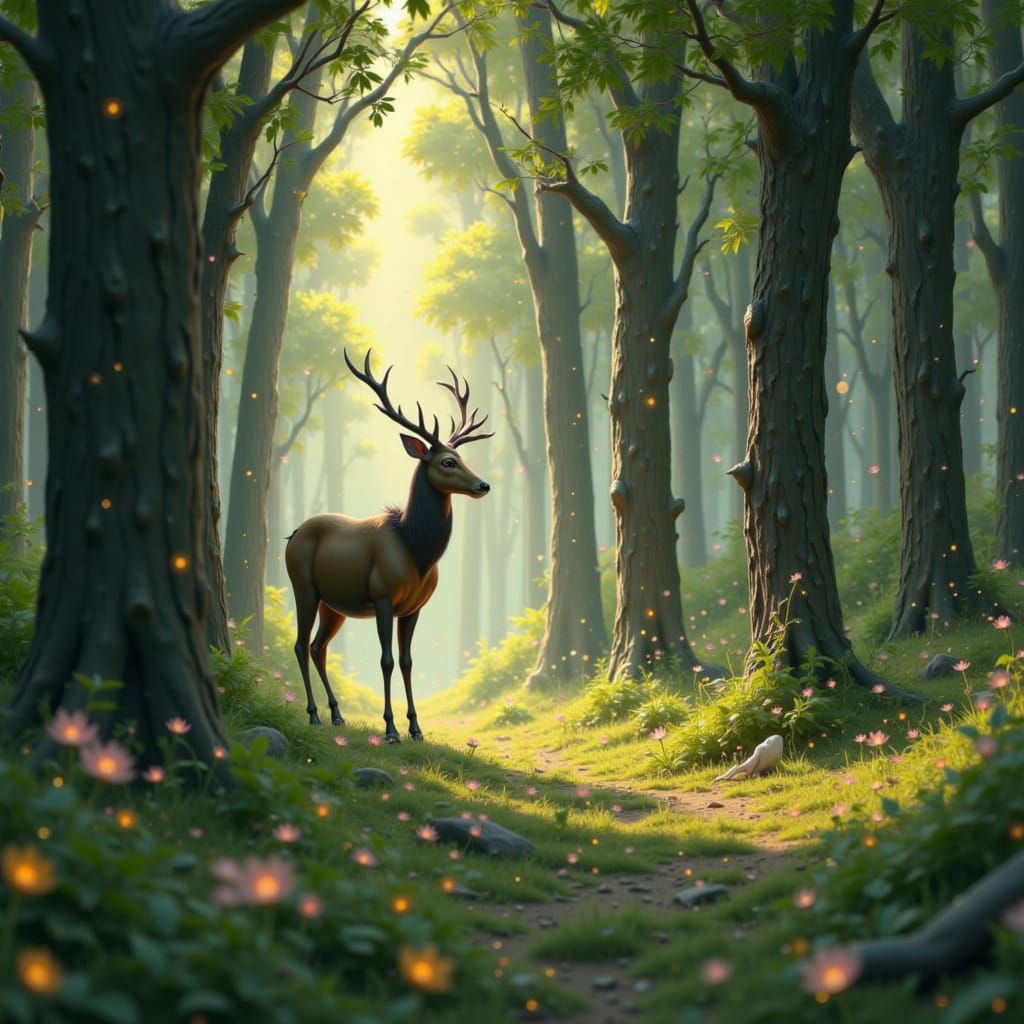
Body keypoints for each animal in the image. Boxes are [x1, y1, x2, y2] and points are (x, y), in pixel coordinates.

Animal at [284, 349, 493, 742]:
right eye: (447, 461)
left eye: (463, 458)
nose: (483, 485)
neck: (417, 551)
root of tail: (293, 533)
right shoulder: (382, 595)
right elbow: (386, 659)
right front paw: (392, 729)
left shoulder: (414, 607)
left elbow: (408, 661)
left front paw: (416, 727)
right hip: (303, 586)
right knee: (301, 644)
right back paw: (315, 715)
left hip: (334, 604)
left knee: (320, 646)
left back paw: (337, 715)